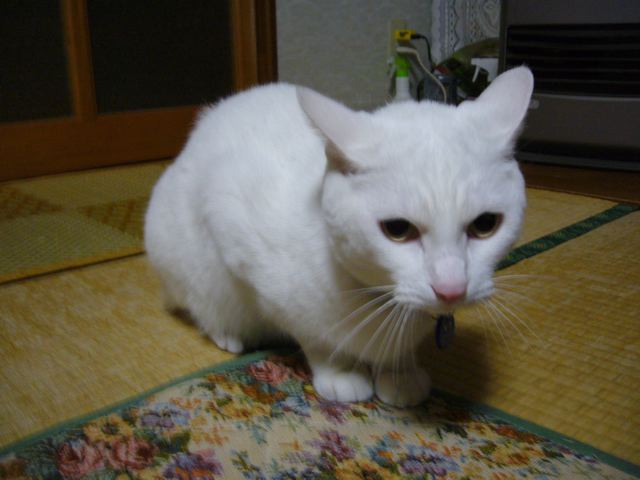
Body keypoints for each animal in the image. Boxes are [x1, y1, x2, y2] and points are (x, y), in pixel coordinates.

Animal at [145, 67, 533, 407]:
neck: (380, 302)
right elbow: (317, 337)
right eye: (397, 230)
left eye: (485, 225)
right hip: (185, 258)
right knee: (202, 305)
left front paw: (400, 374)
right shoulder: (240, 239)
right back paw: (228, 334)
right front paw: (341, 371)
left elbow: (400, 352)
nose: (451, 289)